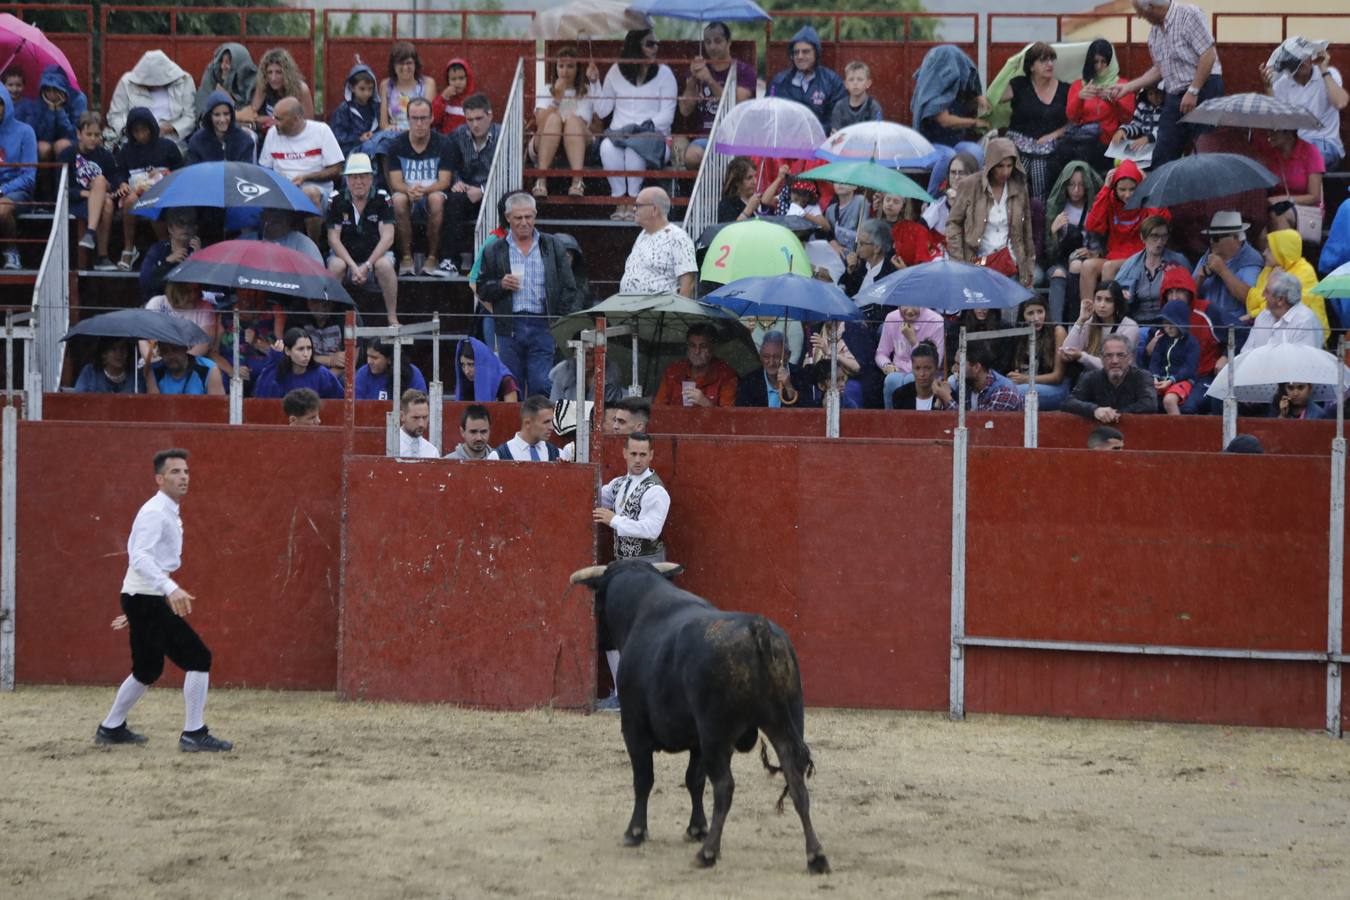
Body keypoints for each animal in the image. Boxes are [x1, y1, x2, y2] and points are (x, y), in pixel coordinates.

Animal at [567, 558, 826, 874]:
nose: (597, 639)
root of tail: (757, 629)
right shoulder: (697, 741)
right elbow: (694, 780)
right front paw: (696, 828)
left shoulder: (634, 729)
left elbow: (644, 779)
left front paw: (636, 831)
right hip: (784, 723)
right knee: (796, 781)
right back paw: (815, 856)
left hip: (717, 733)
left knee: (725, 787)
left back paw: (708, 852)